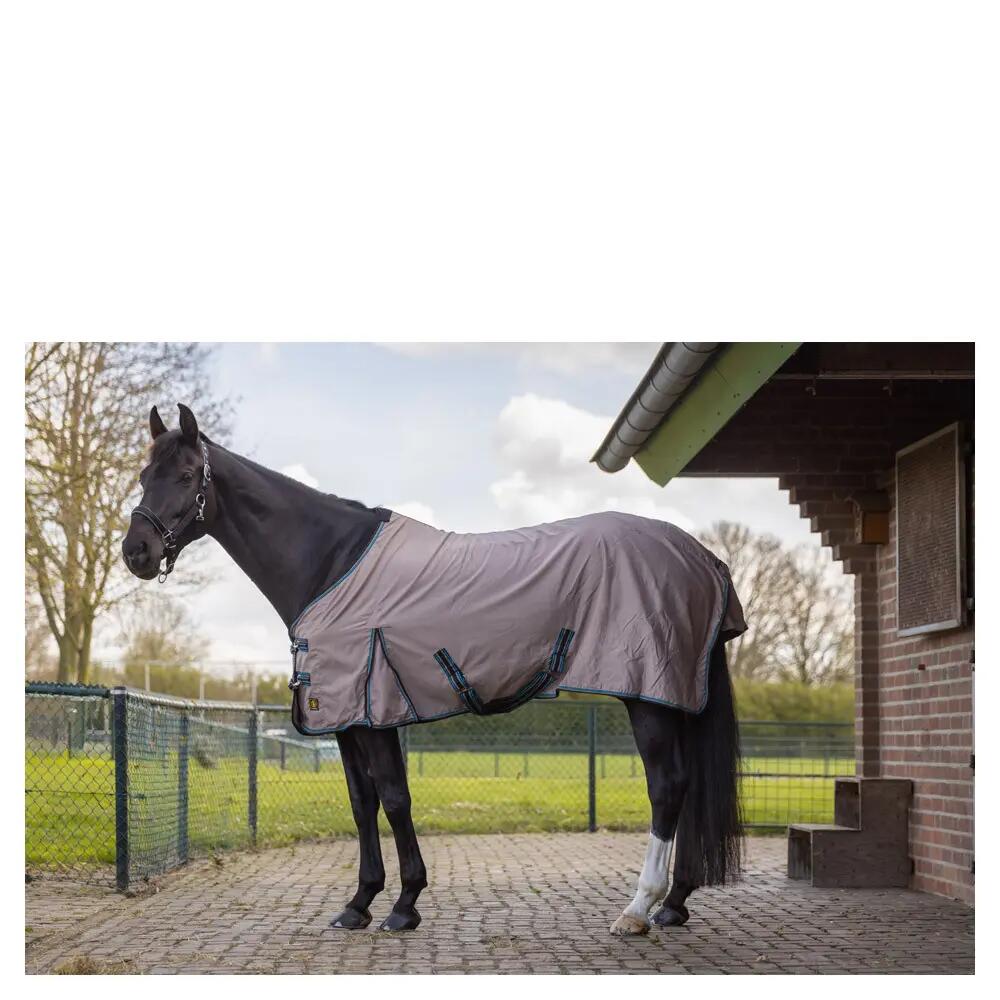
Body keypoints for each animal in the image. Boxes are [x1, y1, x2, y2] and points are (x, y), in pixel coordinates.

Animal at [121, 403, 745, 936]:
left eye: (185, 474)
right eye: (144, 473)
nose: (136, 551)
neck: (330, 561)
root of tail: (704, 558)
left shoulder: (371, 708)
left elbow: (394, 798)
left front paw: (404, 905)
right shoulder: (346, 716)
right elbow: (362, 802)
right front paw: (359, 904)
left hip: (647, 695)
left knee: (667, 786)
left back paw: (638, 909)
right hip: (673, 697)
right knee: (687, 787)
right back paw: (675, 904)